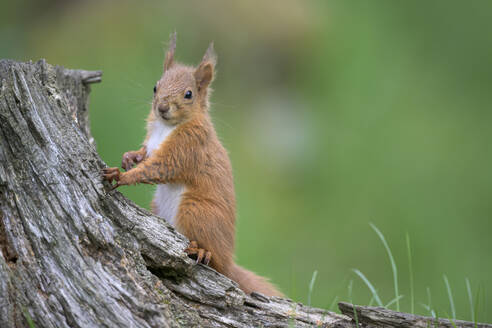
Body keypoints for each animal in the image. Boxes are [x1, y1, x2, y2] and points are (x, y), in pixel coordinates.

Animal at [103, 33, 280, 298]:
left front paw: (122, 176)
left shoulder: (188, 148)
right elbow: (145, 155)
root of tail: (229, 261)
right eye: (155, 86)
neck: (166, 127)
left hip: (195, 210)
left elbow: (158, 168)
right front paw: (128, 158)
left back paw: (203, 251)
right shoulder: (152, 143)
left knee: (215, 261)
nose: (162, 107)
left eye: (189, 94)